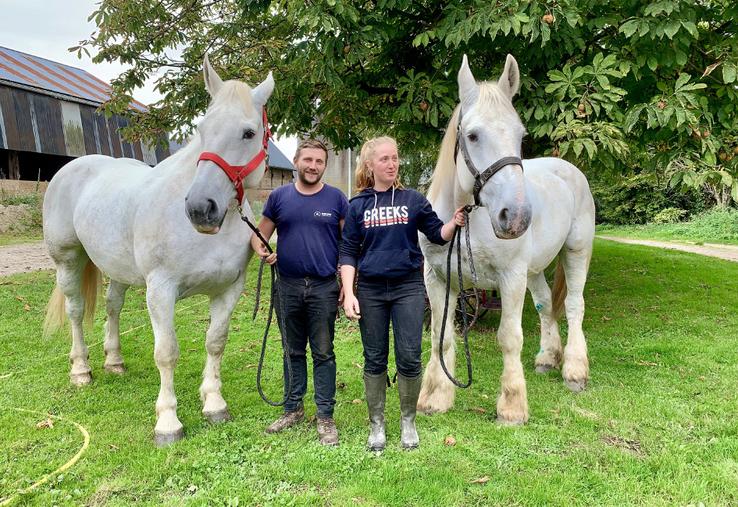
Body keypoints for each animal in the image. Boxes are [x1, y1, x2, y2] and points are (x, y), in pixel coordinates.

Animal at [43, 56, 274, 444]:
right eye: (202, 129)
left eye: (249, 133)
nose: (200, 208)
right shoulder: (161, 291)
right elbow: (166, 353)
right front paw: (168, 422)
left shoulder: (229, 289)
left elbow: (216, 342)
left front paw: (214, 404)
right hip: (68, 260)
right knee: (76, 311)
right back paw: (81, 370)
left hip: (116, 268)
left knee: (113, 307)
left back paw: (114, 362)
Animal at [416, 54, 596, 424]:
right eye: (472, 135)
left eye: (520, 134)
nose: (516, 216)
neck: (467, 219)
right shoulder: (438, 278)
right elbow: (441, 336)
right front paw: (435, 397)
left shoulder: (510, 277)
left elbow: (509, 338)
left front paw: (512, 407)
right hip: (534, 270)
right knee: (545, 305)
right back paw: (547, 358)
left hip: (576, 252)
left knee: (574, 305)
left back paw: (574, 370)